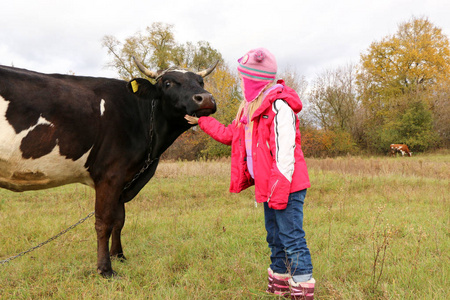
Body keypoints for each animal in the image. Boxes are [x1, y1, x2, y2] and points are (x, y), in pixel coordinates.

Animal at [0, 58, 218, 276]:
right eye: (168, 83)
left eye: (201, 82)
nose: (206, 98)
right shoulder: (110, 175)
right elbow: (104, 222)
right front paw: (105, 269)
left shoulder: (123, 179)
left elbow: (119, 220)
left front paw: (119, 255)